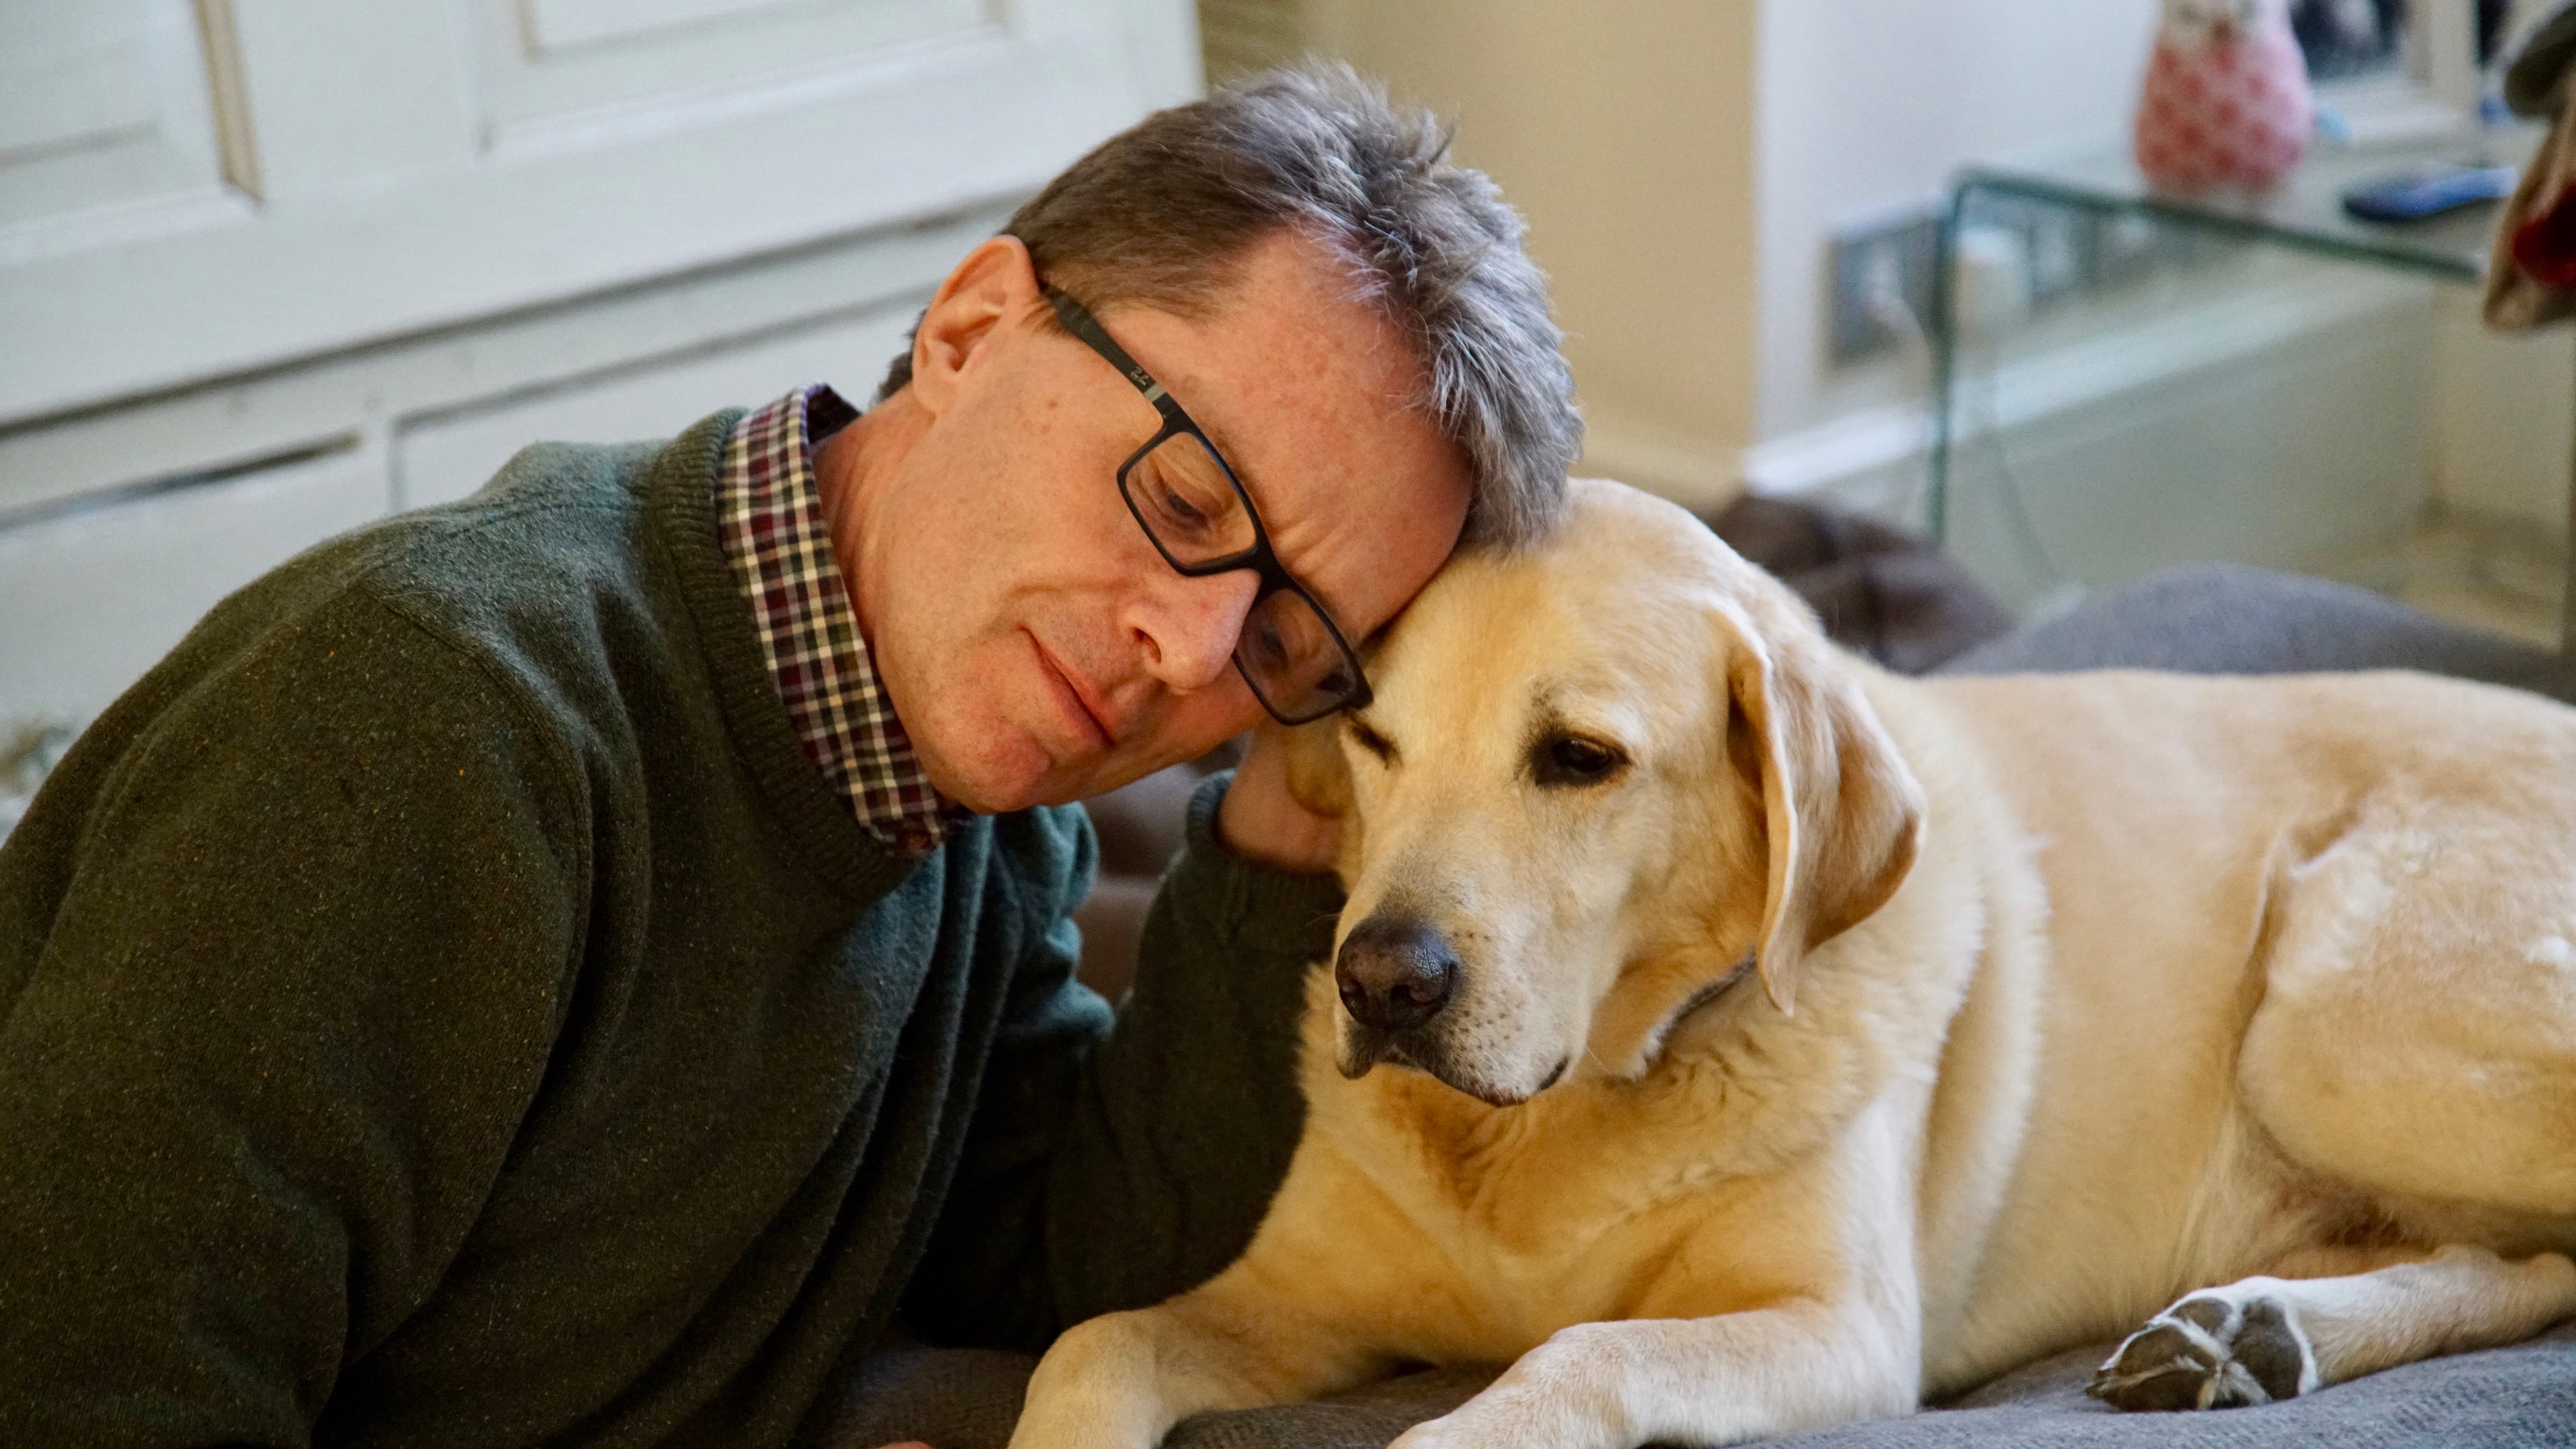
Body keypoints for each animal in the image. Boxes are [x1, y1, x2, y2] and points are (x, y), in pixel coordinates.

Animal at [1010, 476, 2576, 1444]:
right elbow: (1096, 1338)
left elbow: (1587, 1348)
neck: (1541, 1131)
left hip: (2326, 1028)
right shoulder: (1290, 1298)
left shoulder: (1843, 1328)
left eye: (1577, 757)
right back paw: (2248, 1329)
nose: (1381, 981)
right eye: (1371, 739)